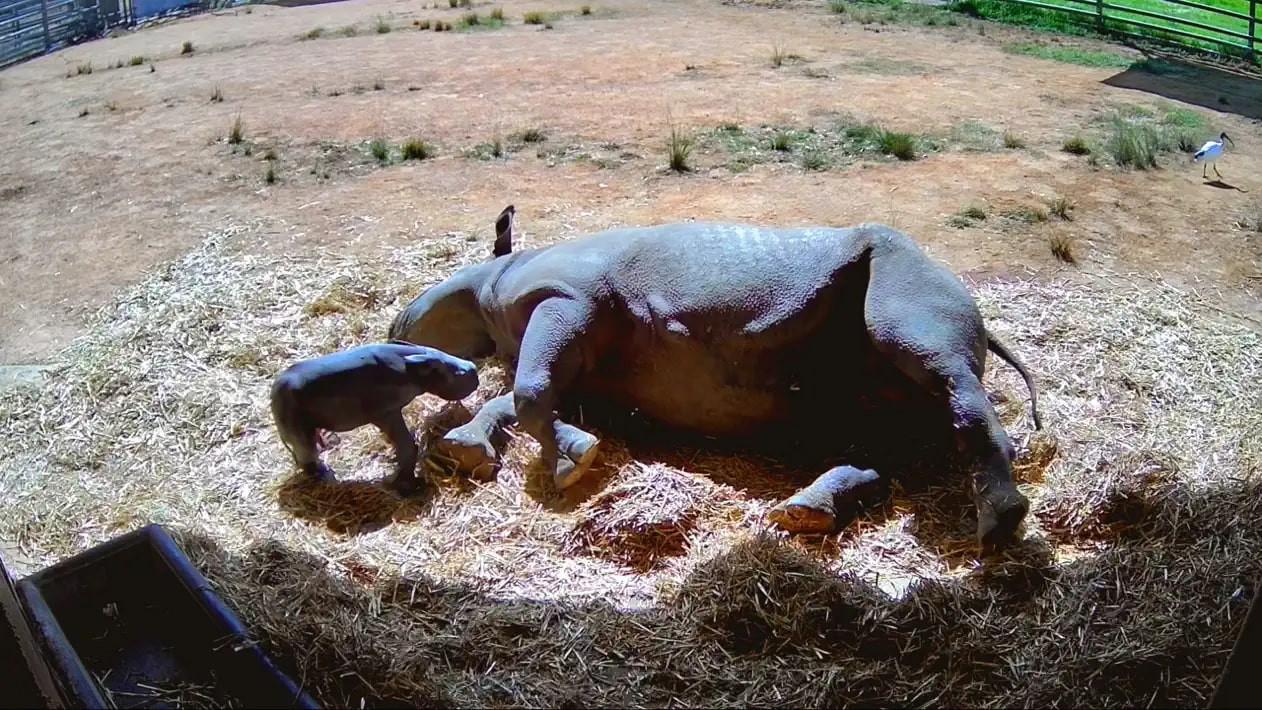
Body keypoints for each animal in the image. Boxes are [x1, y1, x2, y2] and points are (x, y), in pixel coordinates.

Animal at [390, 206, 1042, 553]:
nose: (392, 326)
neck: (496, 283)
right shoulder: (586, 373)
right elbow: (522, 398)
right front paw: (466, 450)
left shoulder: (570, 298)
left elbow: (528, 392)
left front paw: (574, 462)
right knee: (883, 428)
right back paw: (801, 514)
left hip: (911, 275)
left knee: (932, 360)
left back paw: (997, 526)